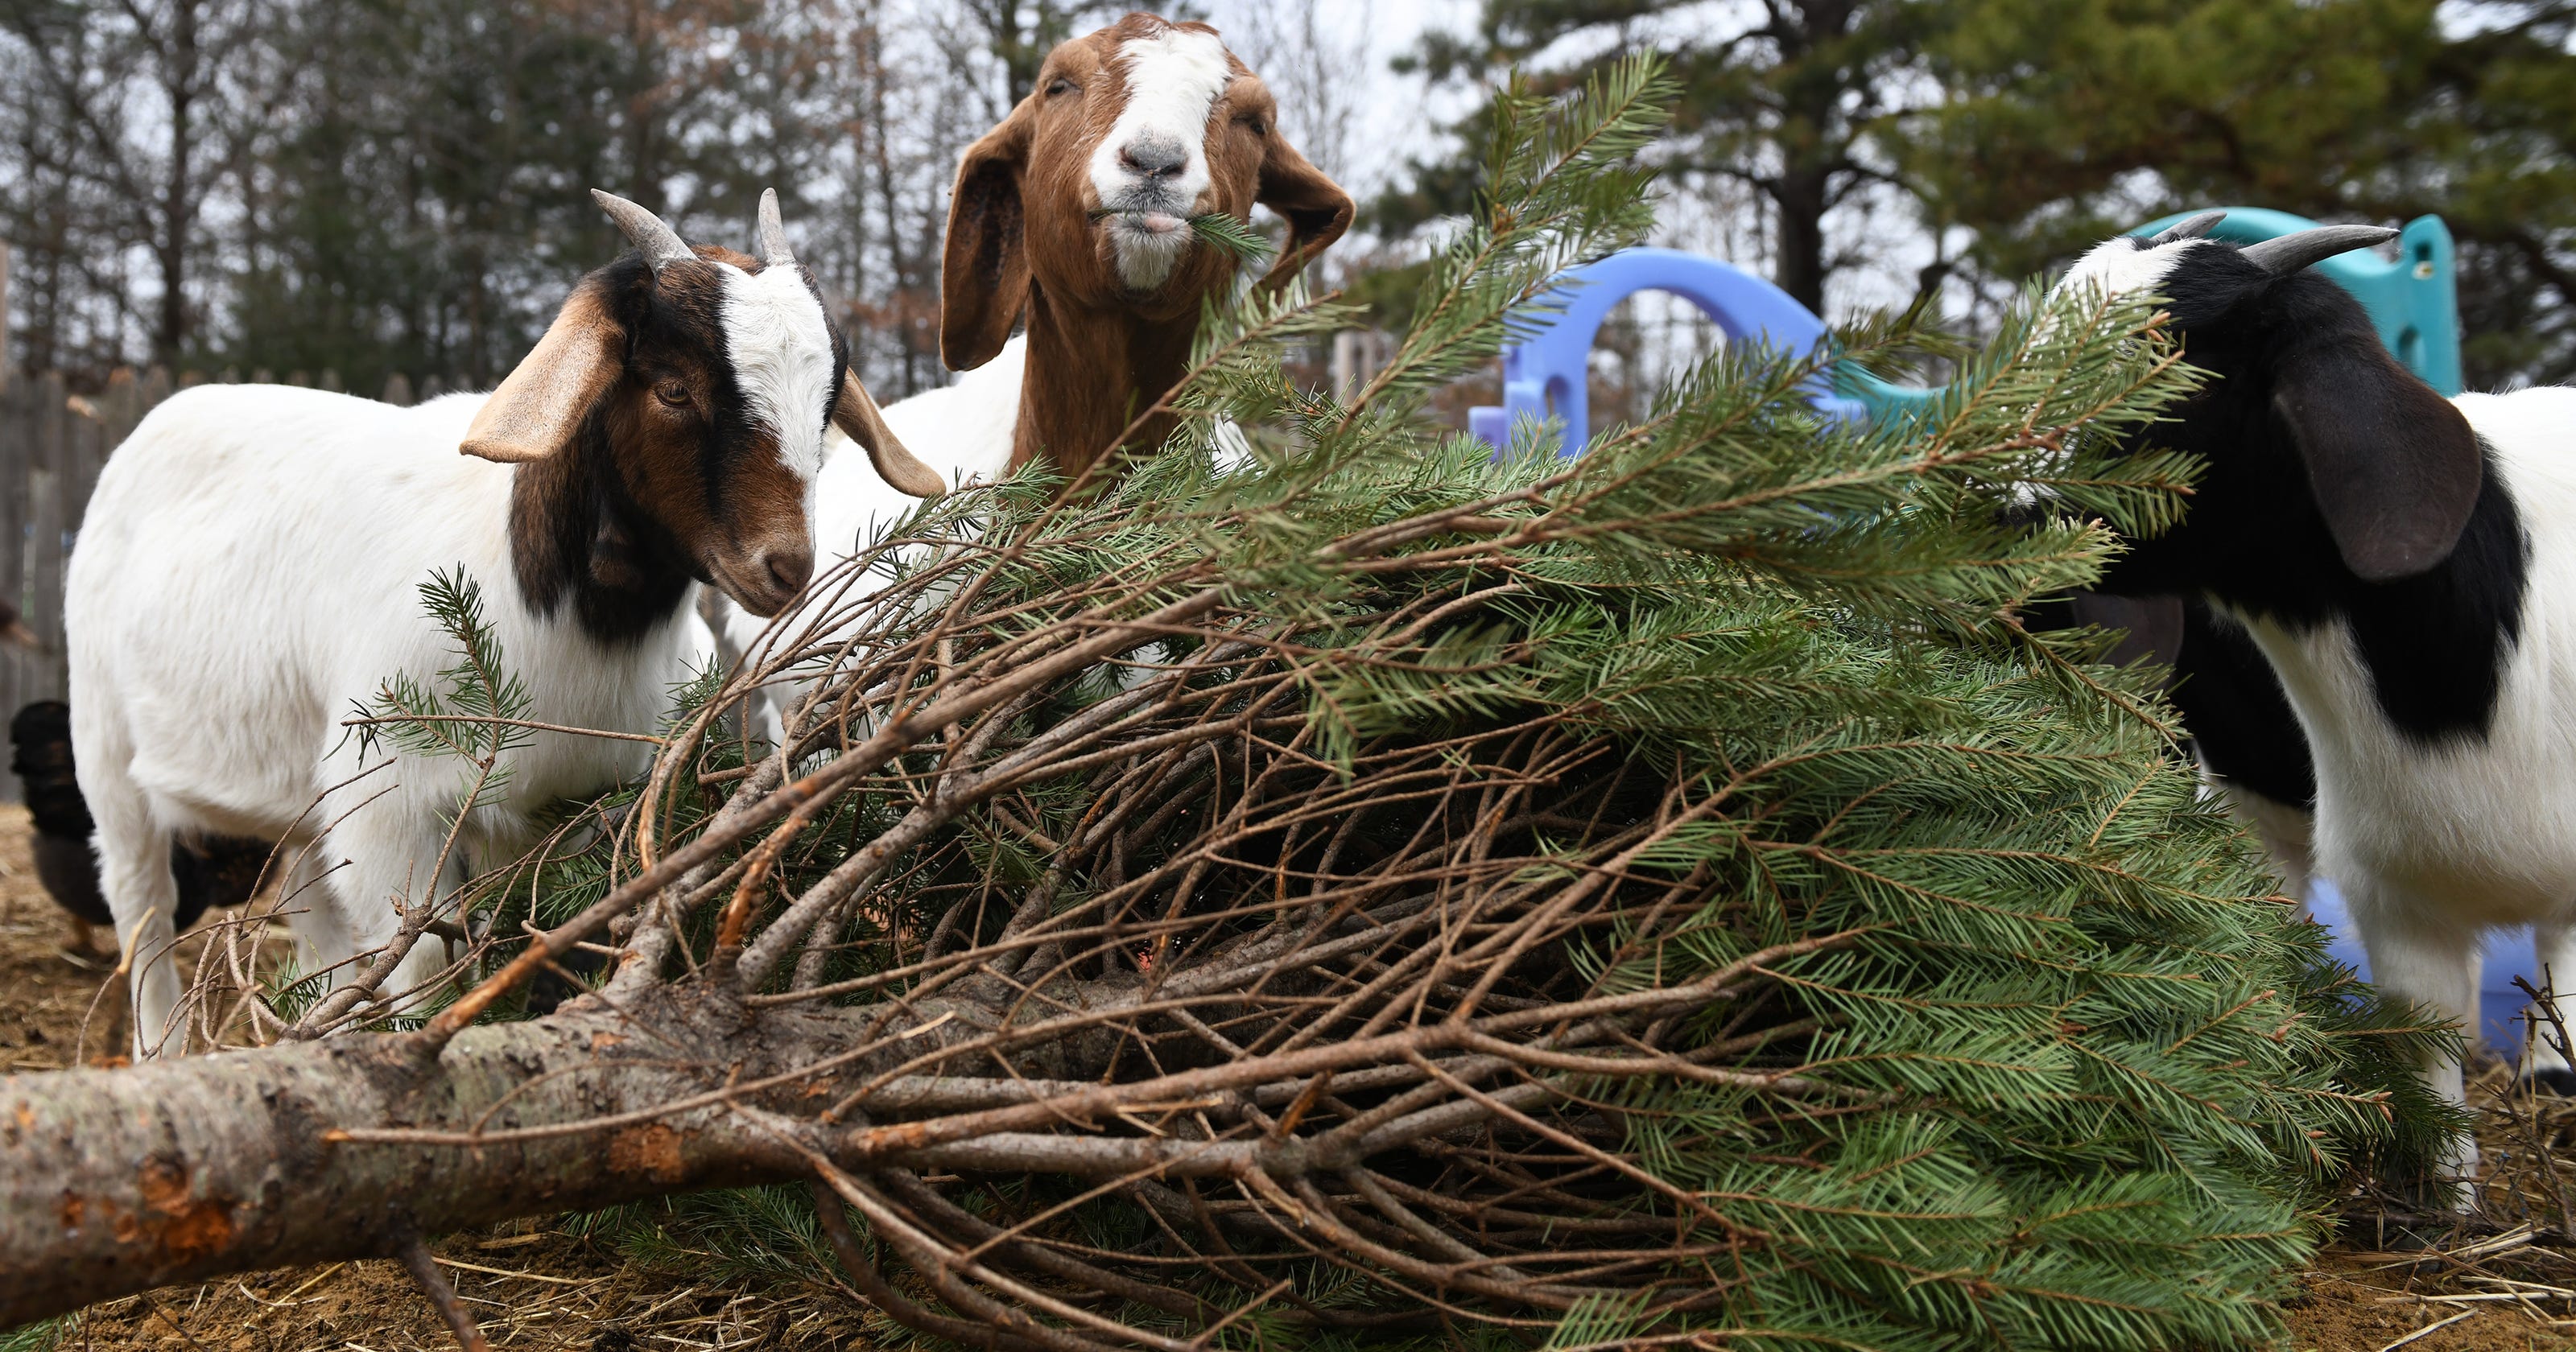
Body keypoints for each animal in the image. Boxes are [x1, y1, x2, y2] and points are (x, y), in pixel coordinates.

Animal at [65, 189, 943, 1056]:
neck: (558, 607)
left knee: (309, 914)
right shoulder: (390, 808)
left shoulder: (564, 806)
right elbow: (418, 969)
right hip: (106, 752)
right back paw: (157, 1052)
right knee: (142, 908)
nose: (784, 568)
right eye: (672, 389)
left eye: (826, 403)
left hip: (306, 800)